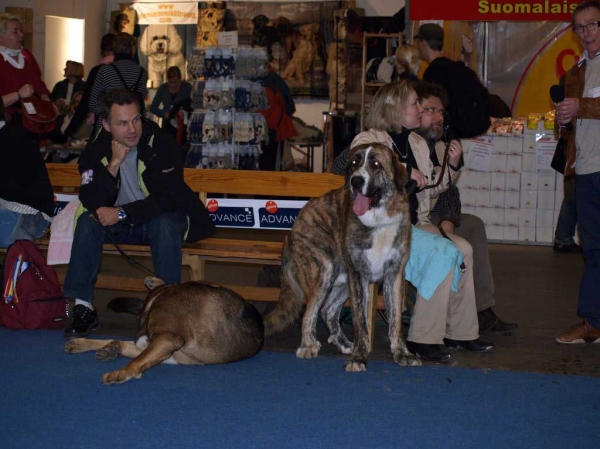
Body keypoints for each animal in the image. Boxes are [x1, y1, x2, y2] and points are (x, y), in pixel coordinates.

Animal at [64, 276, 264, 384]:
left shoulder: (168, 339)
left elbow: (137, 360)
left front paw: (121, 372)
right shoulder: (161, 345)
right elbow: (130, 349)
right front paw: (110, 349)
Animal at [264, 144, 420, 372]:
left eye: (376, 164)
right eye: (354, 163)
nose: (356, 181)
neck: (378, 218)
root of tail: (290, 232)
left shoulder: (394, 275)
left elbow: (396, 321)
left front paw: (401, 353)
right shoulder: (359, 277)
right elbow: (361, 322)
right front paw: (359, 357)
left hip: (343, 278)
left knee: (327, 310)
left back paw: (344, 343)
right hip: (325, 269)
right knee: (310, 311)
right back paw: (308, 345)